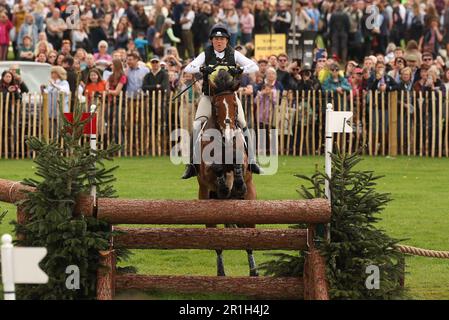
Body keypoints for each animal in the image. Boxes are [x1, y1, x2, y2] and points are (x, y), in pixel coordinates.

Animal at [194, 69, 258, 276]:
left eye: (235, 105)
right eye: (215, 105)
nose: (229, 134)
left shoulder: (243, 162)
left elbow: (238, 164)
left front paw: (237, 182)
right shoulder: (205, 172)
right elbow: (215, 168)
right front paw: (223, 185)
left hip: (249, 203)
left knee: (249, 241)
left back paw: (254, 271)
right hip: (207, 203)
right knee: (218, 245)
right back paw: (221, 273)